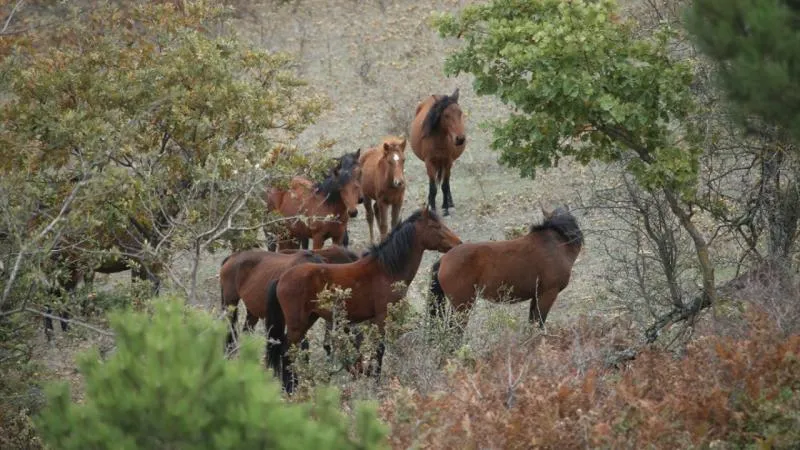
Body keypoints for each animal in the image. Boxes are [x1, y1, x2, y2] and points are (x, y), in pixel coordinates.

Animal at [264, 208, 460, 394]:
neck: (385, 270)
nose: (457, 243)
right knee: (286, 351)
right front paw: (376, 383)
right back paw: (290, 389)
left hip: (308, 320)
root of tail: (281, 278)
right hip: (298, 324)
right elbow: (379, 349)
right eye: (435, 226)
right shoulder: (382, 317)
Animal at [410, 88, 466, 216]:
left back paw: (450, 203)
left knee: (447, 183)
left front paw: (445, 208)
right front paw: (432, 207)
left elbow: (445, 186)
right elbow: (433, 187)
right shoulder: (429, 162)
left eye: (460, 113)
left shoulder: (448, 161)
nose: (460, 139)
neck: (439, 140)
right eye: (446, 115)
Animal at [432, 207, 580, 330]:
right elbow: (539, 323)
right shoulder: (547, 295)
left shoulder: (536, 297)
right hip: (462, 306)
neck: (555, 244)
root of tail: (443, 260)